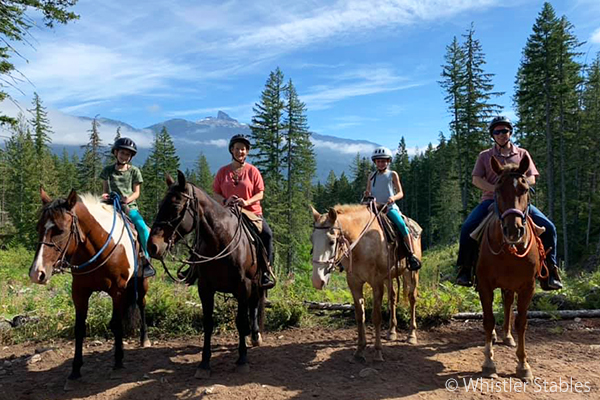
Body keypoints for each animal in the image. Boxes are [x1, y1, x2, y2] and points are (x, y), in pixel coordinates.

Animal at [28, 189, 151, 390]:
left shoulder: (117, 290)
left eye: (60, 230)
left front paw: (118, 362)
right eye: (38, 228)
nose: (36, 273)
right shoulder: (79, 291)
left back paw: (144, 338)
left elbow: (116, 324)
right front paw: (75, 371)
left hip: (142, 282)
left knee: (141, 304)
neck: (97, 248)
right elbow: (79, 328)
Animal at [147, 170, 264, 376]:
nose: (153, 246)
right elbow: (208, 323)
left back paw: (255, 335)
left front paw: (242, 360)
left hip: (256, 283)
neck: (222, 241)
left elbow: (241, 320)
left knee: (254, 304)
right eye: (160, 204)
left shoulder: (244, 286)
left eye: (176, 207)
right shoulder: (205, 288)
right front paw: (204, 363)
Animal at [312, 203, 420, 362]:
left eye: (331, 242)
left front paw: (377, 352)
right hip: (389, 278)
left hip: (411, 273)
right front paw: (359, 350)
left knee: (412, 298)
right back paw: (392, 332)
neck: (361, 244)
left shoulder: (377, 283)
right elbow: (359, 316)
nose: (317, 281)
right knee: (393, 297)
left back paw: (411, 335)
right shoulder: (354, 283)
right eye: (311, 240)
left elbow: (376, 317)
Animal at [478, 154, 544, 382]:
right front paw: (488, 363)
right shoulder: (484, 284)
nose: (513, 230)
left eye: (524, 189)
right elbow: (488, 320)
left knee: (507, 304)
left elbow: (521, 323)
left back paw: (507, 336)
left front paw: (523, 365)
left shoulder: (527, 287)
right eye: (498, 189)